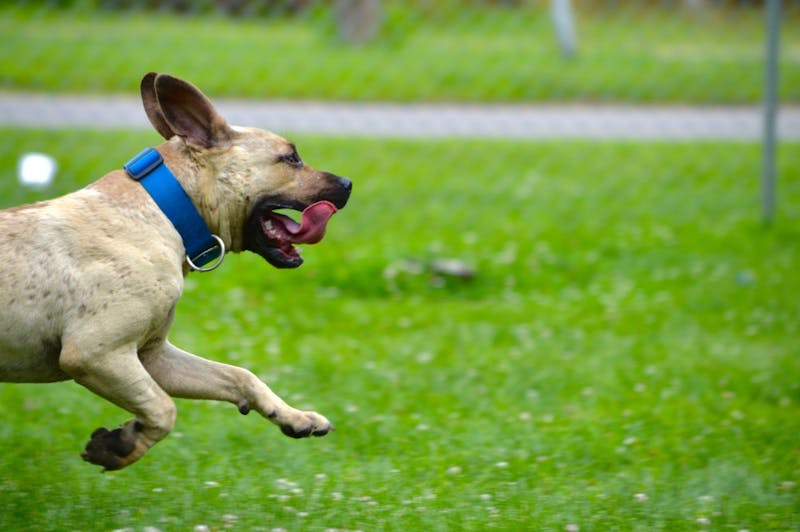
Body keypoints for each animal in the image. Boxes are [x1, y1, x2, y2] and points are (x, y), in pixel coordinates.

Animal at [0, 71, 354, 470]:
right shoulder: (95, 354)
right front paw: (121, 445)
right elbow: (164, 409)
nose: (348, 185)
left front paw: (296, 417)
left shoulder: (152, 357)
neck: (165, 210)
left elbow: (239, 376)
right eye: (291, 158)